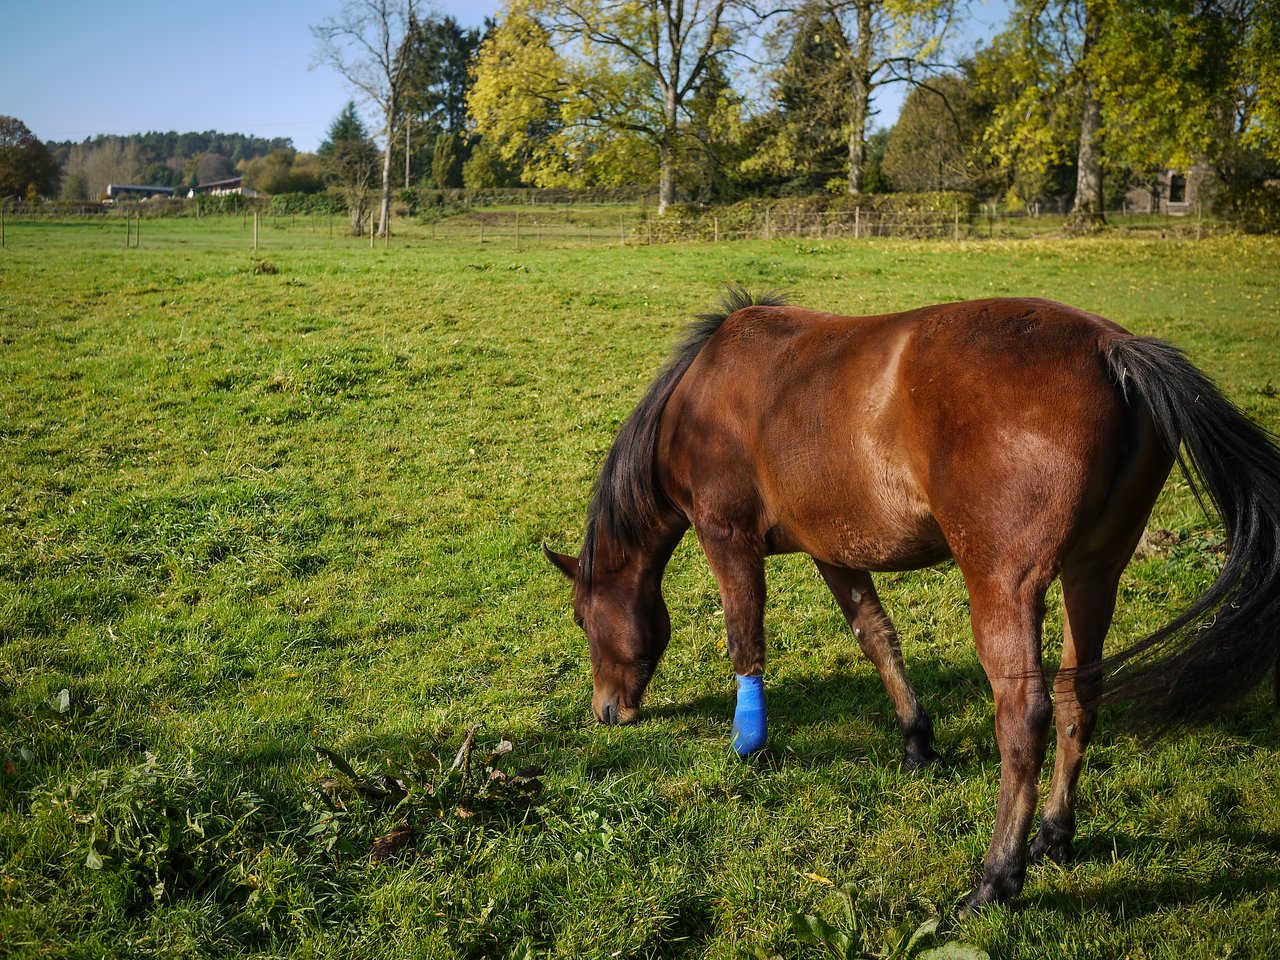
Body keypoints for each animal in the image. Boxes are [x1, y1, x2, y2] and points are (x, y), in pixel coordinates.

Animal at [543, 288, 1280, 913]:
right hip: (1094, 572)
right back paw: (1054, 835)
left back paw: (997, 877)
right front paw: (916, 741)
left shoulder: (728, 536)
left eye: (582, 617)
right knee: (1079, 696)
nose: (607, 712)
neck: (702, 395)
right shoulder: (835, 550)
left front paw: (748, 742)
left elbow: (745, 639)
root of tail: (1111, 349)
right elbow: (876, 637)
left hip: (1003, 585)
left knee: (1025, 717)